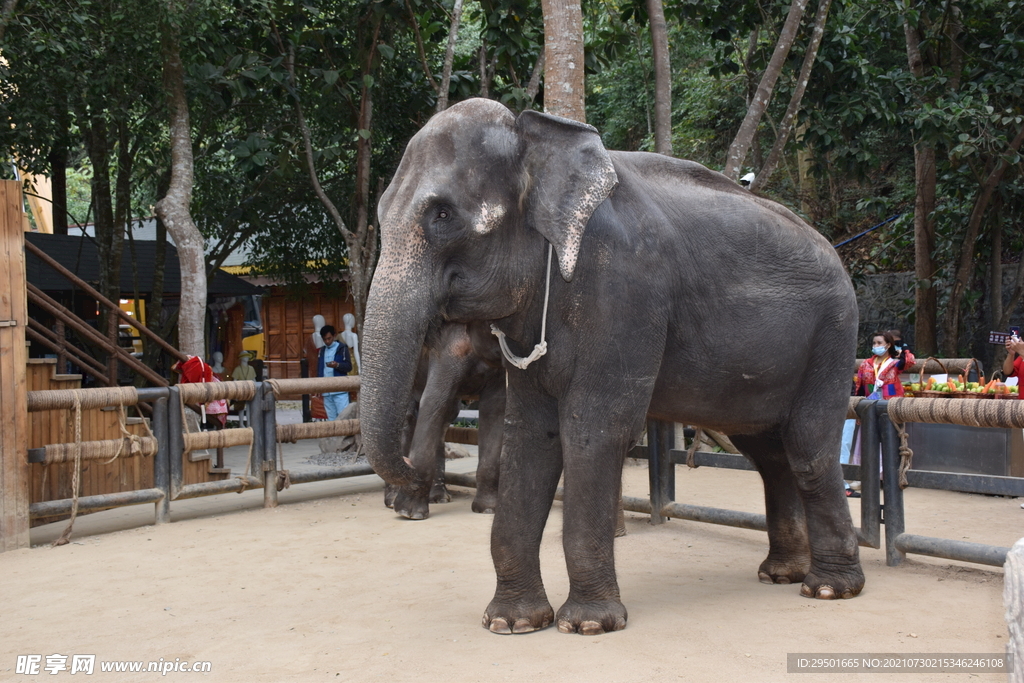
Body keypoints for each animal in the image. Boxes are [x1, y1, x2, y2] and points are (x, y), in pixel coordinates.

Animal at [385, 321, 505, 518]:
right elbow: (435, 398)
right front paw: (409, 513)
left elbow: (495, 407)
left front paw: (488, 510)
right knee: (408, 416)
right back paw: (393, 500)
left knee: (445, 415)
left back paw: (439, 498)